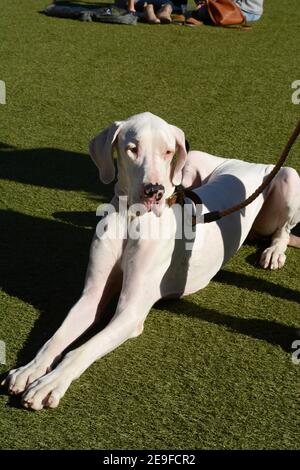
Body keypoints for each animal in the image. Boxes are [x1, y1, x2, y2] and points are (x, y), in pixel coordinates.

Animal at [2, 112, 300, 410]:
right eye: (132, 148)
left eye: (167, 151)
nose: (154, 191)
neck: (130, 219)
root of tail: (245, 163)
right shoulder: (90, 296)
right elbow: (57, 338)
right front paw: (30, 370)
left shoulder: (130, 312)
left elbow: (80, 350)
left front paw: (50, 383)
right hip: (192, 162)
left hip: (287, 176)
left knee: (283, 229)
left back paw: (274, 251)